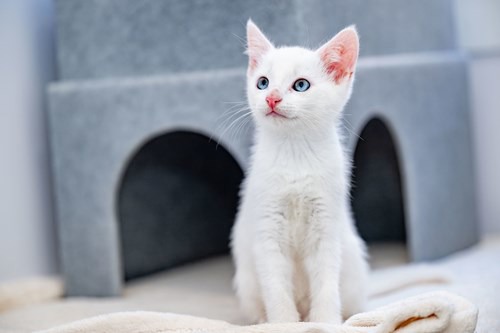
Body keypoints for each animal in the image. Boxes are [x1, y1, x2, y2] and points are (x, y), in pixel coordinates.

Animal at [230, 19, 368, 322]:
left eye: (301, 85)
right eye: (263, 82)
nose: (271, 98)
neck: (295, 154)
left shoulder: (326, 227)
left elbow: (326, 282)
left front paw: (326, 322)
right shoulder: (267, 230)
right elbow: (275, 287)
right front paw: (283, 322)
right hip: (246, 281)